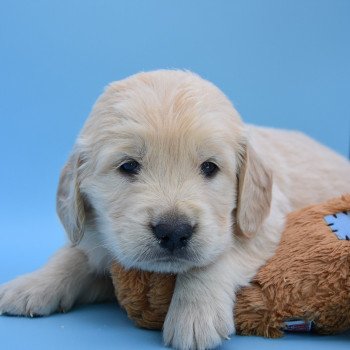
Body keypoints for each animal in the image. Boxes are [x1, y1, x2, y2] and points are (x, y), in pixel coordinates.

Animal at [0, 69, 350, 348]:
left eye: (210, 167)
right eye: (128, 166)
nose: (173, 232)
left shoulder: (263, 222)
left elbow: (216, 257)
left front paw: (194, 316)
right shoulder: (96, 231)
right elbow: (74, 255)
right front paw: (31, 284)